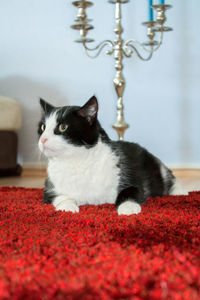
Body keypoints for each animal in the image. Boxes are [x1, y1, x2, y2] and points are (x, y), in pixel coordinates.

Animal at [38, 95, 186, 214]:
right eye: (43, 127)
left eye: (63, 127)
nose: (43, 139)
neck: (77, 161)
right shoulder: (49, 186)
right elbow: (58, 196)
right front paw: (67, 207)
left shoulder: (128, 175)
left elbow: (131, 190)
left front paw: (128, 207)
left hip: (156, 167)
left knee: (169, 178)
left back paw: (180, 192)